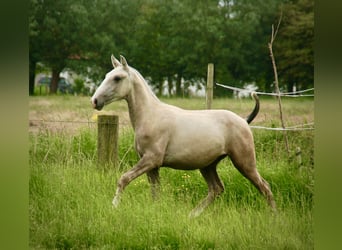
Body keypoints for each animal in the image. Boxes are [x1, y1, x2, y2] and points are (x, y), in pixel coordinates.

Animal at [90, 54, 276, 217]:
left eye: (117, 78)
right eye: (107, 75)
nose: (95, 101)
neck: (151, 116)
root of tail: (244, 121)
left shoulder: (151, 160)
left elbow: (124, 179)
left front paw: (113, 206)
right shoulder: (152, 166)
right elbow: (155, 192)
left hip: (244, 162)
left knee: (264, 187)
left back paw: (273, 216)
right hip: (208, 166)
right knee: (216, 189)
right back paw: (192, 215)